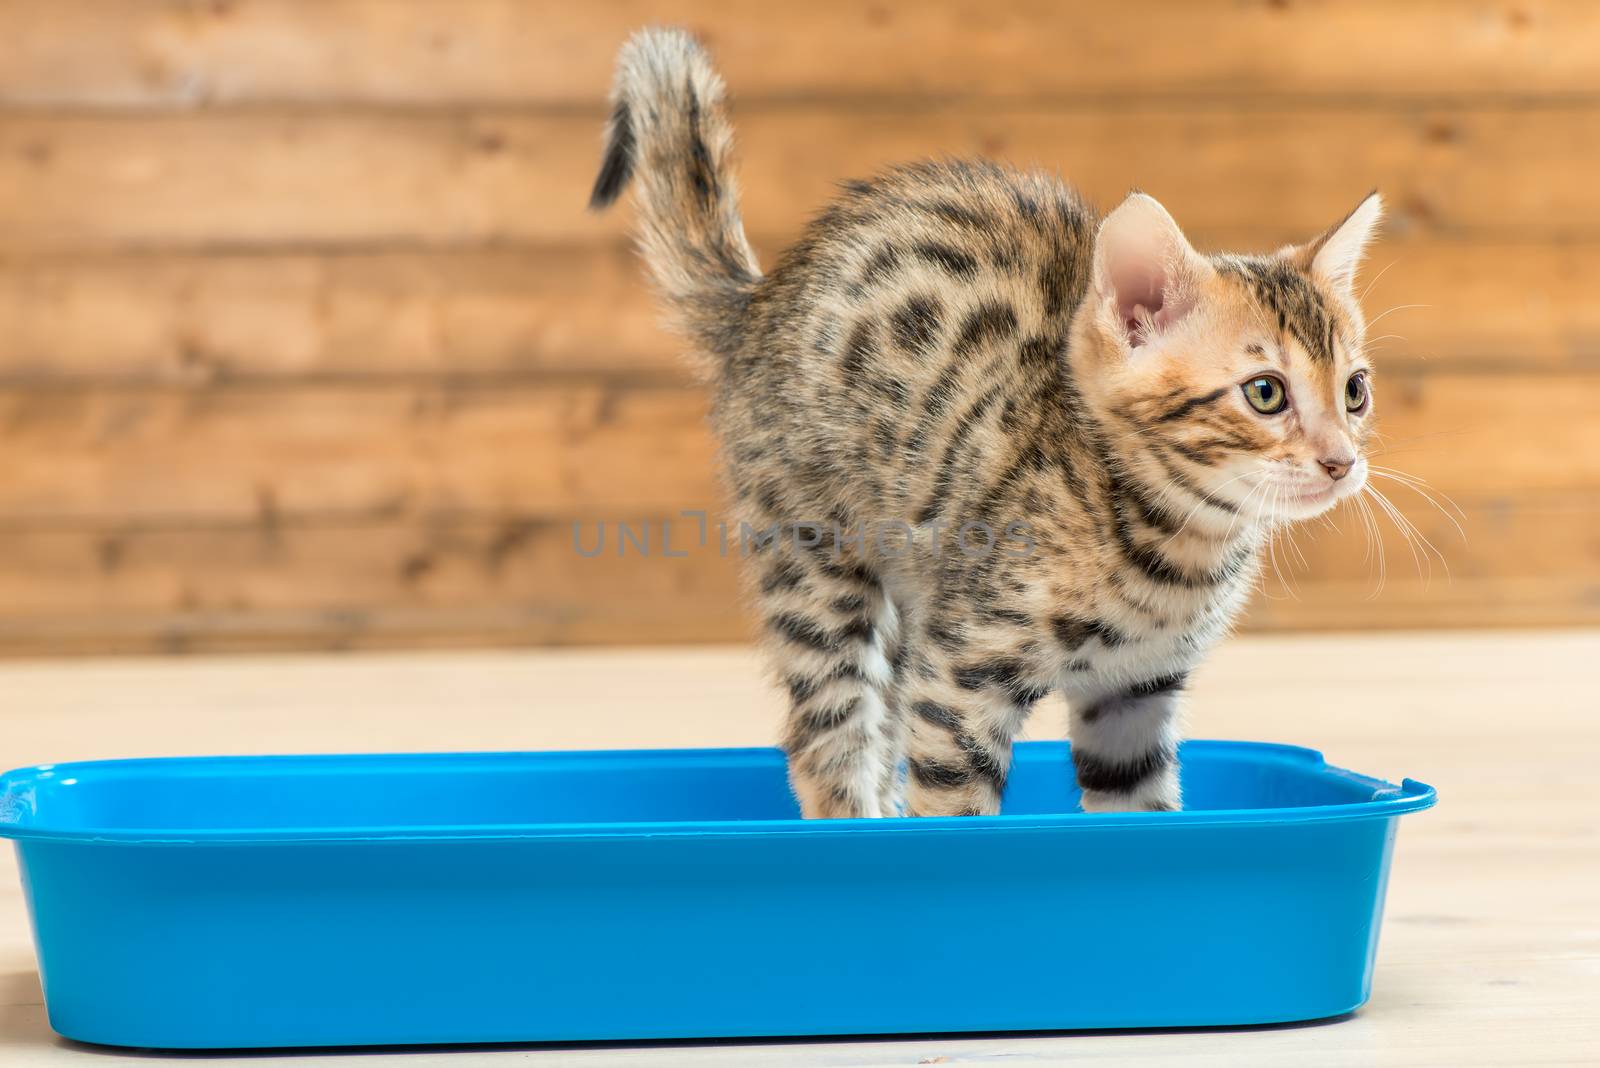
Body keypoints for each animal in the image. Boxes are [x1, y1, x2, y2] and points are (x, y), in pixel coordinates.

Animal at [595, 31, 1382, 818]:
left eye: (1355, 391)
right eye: (1265, 393)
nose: (1342, 461)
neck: (1173, 547)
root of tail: (759, 301)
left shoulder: (1133, 692)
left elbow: (1142, 814)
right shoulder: (961, 677)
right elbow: (959, 816)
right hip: (815, 562)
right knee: (827, 735)